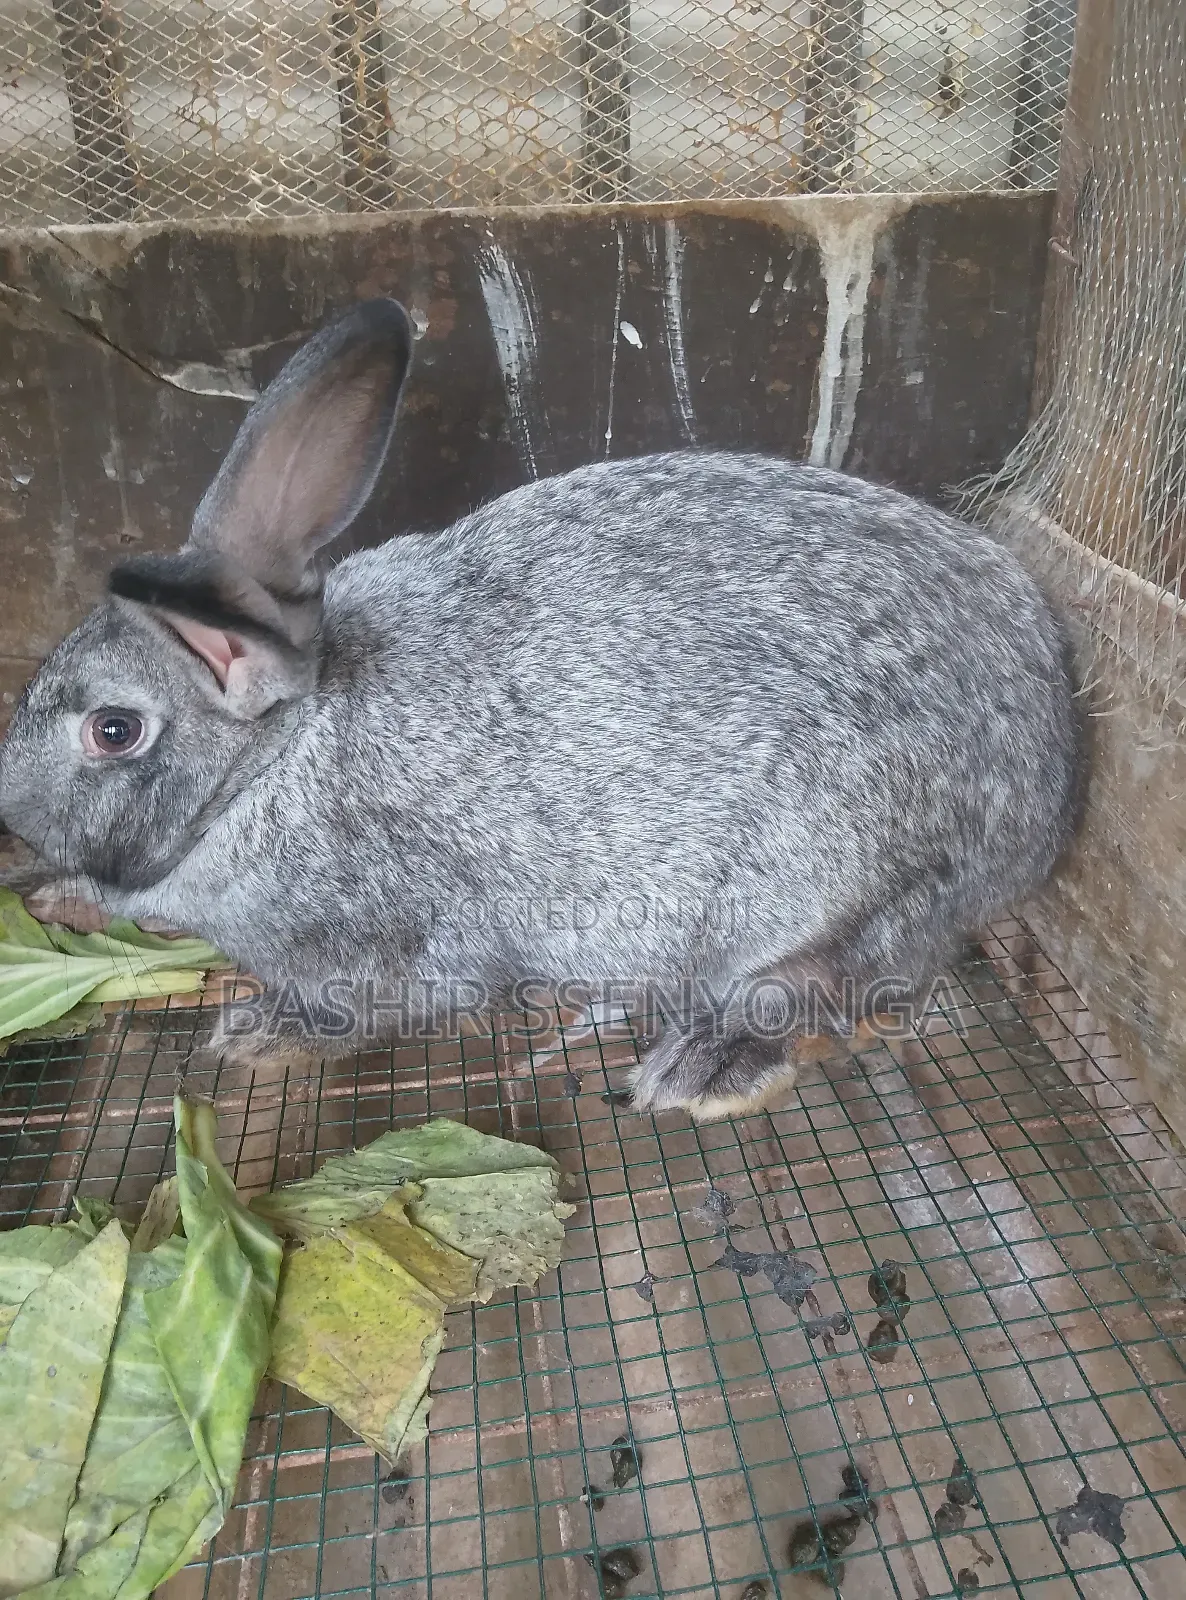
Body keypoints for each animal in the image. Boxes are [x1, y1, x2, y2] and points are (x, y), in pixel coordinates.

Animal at [0, 297, 1083, 1120]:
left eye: (112, 730)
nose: (7, 809)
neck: (274, 759)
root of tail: (1050, 770)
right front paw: (58, 898)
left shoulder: (390, 942)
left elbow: (367, 1004)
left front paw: (257, 1034)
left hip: (829, 878)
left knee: (829, 982)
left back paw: (703, 1069)